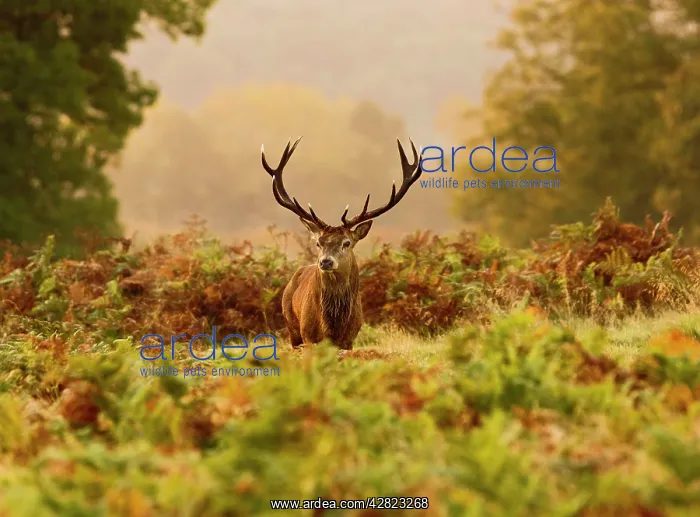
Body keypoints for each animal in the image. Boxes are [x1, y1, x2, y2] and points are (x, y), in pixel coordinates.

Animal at [260, 137, 423, 351]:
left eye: (347, 243)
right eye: (318, 243)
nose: (325, 262)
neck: (332, 328)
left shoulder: (349, 340)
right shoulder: (309, 337)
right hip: (292, 326)